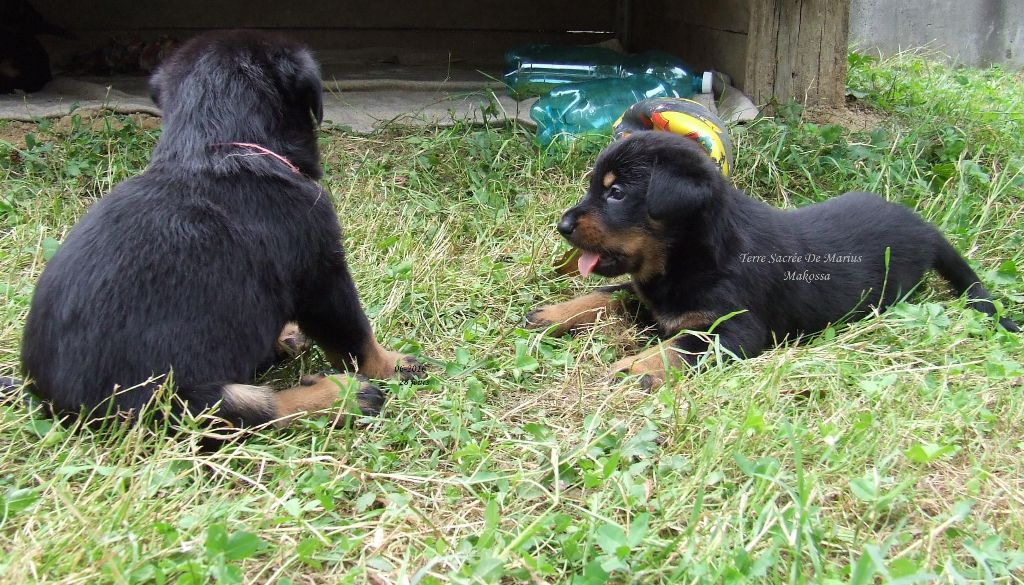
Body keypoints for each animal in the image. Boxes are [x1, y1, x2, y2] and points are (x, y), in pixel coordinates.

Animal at [528, 133, 1015, 389]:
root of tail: (927, 229)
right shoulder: (651, 299)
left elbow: (685, 344)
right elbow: (607, 293)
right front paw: (555, 313)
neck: (687, 257)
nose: (562, 225)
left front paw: (635, 366)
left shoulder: (737, 330)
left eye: (616, 193)